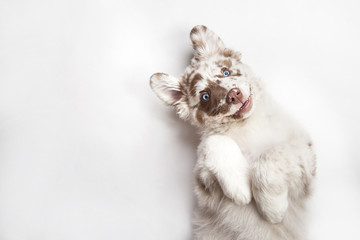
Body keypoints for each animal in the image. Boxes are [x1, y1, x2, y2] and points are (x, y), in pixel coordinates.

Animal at [149, 25, 316, 239]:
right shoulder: (205, 185)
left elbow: (269, 157)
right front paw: (241, 188)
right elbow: (214, 141)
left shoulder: (305, 159)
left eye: (226, 72)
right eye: (205, 96)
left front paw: (272, 208)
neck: (247, 125)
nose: (234, 95)